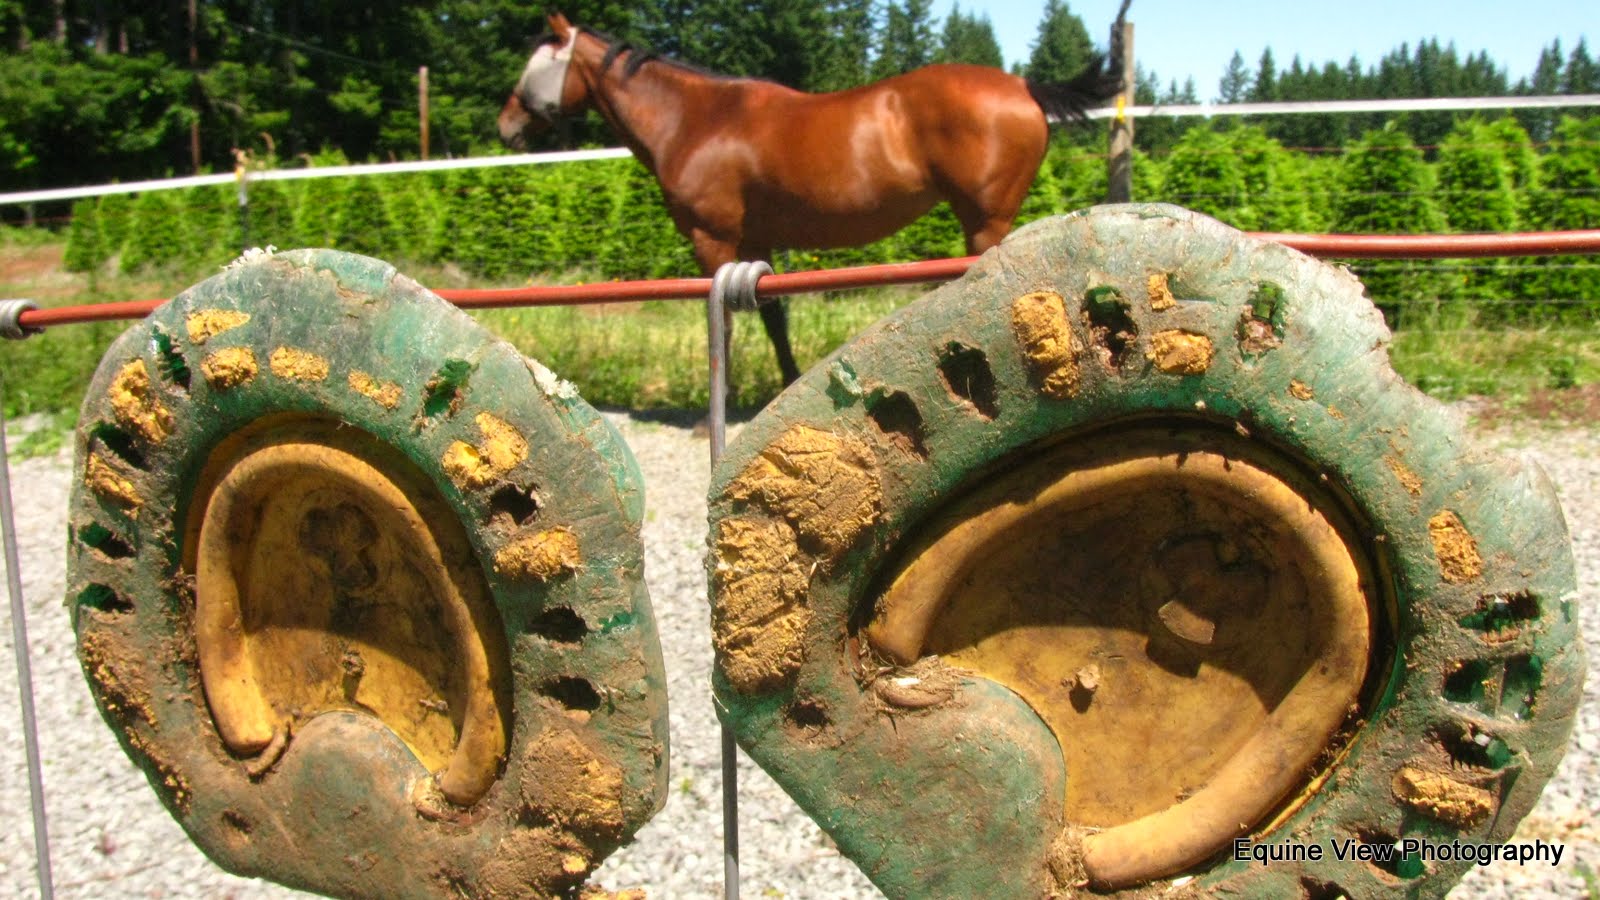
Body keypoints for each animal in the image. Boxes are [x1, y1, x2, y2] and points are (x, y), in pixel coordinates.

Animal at [499, 5, 1129, 387]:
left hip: (985, 220)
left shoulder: (714, 240)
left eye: (532, 63)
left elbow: (722, 325)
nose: (506, 126)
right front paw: (788, 379)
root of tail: (1024, 85)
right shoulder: (755, 242)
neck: (697, 120)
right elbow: (771, 317)